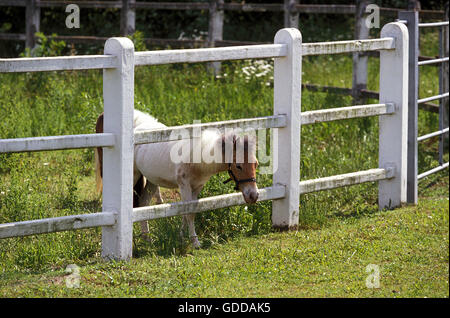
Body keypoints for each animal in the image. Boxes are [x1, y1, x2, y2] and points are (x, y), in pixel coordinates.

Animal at [96, 110, 258, 248]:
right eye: (238, 166)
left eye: (255, 164)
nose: (254, 196)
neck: (197, 157)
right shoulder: (184, 185)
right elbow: (189, 213)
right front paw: (195, 243)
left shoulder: (196, 187)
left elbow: (186, 214)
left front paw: (181, 238)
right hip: (134, 176)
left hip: (152, 181)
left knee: (143, 204)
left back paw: (147, 238)